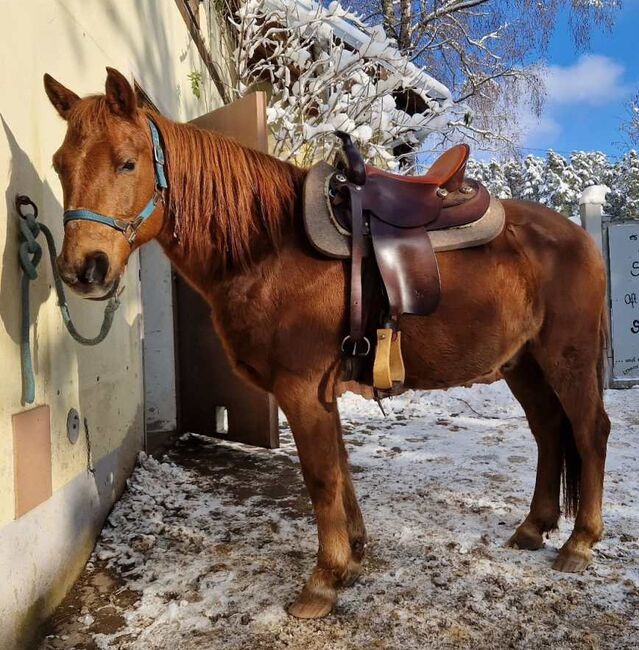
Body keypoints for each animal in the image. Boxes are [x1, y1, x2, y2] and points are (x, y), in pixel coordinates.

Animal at [42, 69, 612, 616]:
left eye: (127, 163)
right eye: (59, 165)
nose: (84, 269)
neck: (268, 247)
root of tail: (579, 236)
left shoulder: (301, 390)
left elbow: (320, 479)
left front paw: (323, 581)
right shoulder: (323, 391)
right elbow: (340, 472)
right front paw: (353, 559)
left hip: (567, 360)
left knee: (590, 432)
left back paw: (580, 543)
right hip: (524, 366)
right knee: (548, 432)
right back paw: (533, 527)